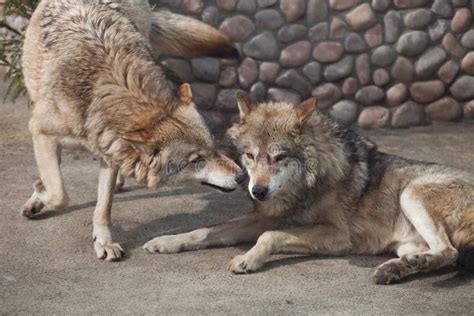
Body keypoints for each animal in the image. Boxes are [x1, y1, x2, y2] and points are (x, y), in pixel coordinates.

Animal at [19, 0, 241, 262]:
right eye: (197, 160)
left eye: (214, 148)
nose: (241, 176)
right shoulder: (40, 131)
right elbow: (60, 195)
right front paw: (40, 191)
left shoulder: (109, 149)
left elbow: (103, 207)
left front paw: (104, 243)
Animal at [143, 92, 474, 286]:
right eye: (250, 155)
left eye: (279, 157)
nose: (257, 191)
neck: (305, 187)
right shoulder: (263, 216)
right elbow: (206, 230)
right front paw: (167, 241)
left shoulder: (339, 236)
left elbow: (270, 236)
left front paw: (249, 259)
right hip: (406, 240)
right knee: (443, 254)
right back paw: (397, 269)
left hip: (411, 194)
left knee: (450, 252)